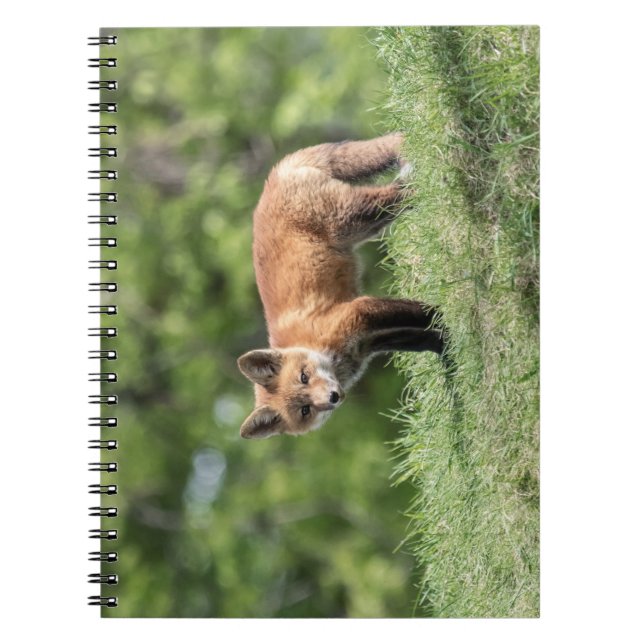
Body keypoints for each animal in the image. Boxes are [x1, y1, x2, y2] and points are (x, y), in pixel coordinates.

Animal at [237, 133, 446, 439]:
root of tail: (275, 175)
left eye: (304, 376)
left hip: (354, 217)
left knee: (397, 189)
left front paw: (450, 315)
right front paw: (447, 348)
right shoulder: (368, 342)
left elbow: (422, 312)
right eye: (305, 410)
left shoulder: (359, 312)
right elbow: (422, 338)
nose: (334, 397)